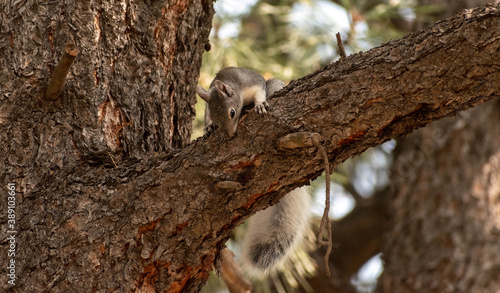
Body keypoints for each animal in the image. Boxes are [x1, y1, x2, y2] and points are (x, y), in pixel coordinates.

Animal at [196, 66, 310, 276]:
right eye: (216, 118)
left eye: (232, 113)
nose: (230, 135)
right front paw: (208, 127)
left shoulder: (253, 83)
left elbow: (258, 94)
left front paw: (259, 105)